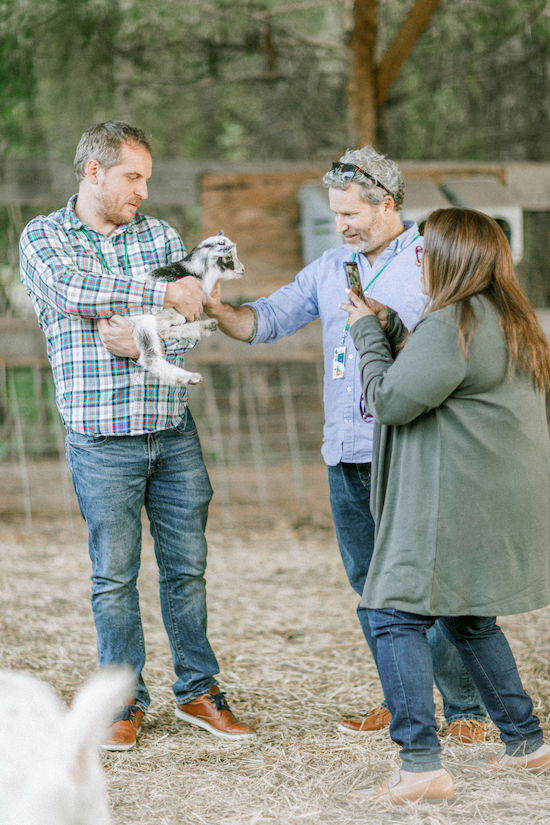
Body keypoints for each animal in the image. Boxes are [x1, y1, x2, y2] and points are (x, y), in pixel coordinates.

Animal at [132, 232, 244, 386]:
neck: (195, 272)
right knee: (150, 357)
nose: (242, 270)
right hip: (143, 322)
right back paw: (189, 377)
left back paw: (206, 326)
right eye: (228, 257)